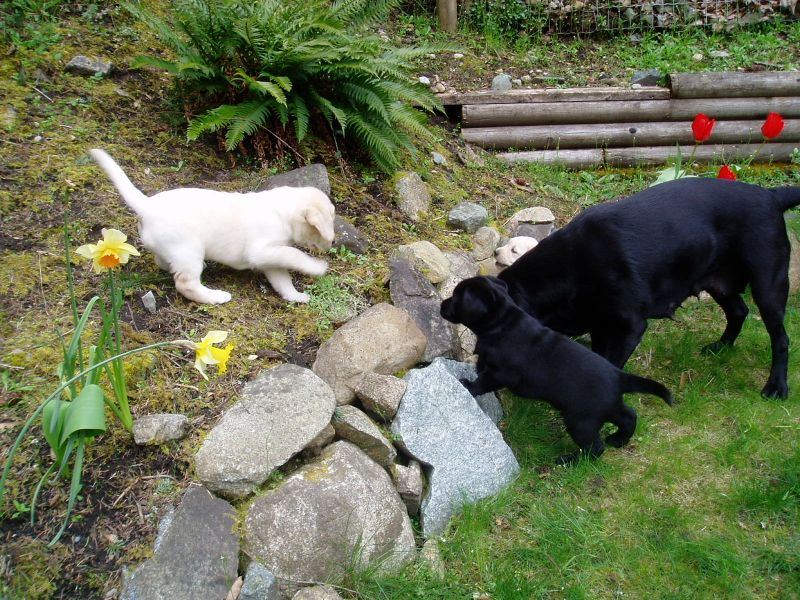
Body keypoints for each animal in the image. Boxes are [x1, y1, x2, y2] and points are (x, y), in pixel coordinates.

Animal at [440, 276, 672, 464]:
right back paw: (618, 439)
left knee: (595, 447)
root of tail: (619, 376)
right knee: (629, 416)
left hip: (580, 420)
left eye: (456, 297)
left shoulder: (501, 373)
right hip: (607, 407)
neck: (503, 322)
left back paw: (570, 461)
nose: (442, 304)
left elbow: (484, 381)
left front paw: (468, 386)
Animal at [496, 176, 796, 398]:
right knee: (738, 312)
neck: (570, 267)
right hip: (718, 283)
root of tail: (772, 195)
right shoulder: (600, 325)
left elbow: (610, 363)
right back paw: (721, 347)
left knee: (780, 338)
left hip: (768, 286)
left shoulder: (629, 327)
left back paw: (776, 386)